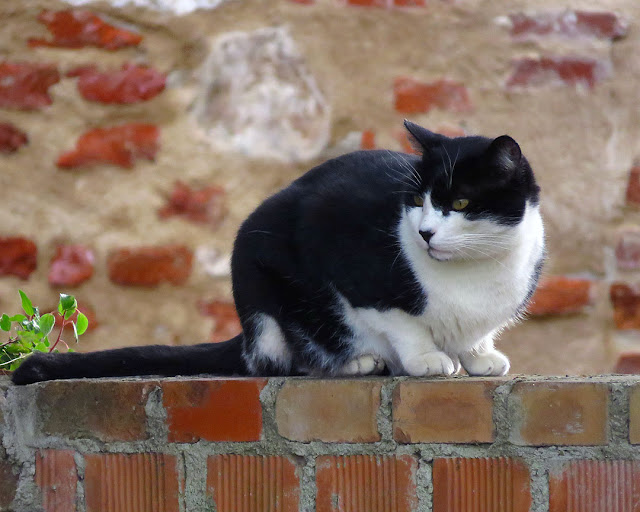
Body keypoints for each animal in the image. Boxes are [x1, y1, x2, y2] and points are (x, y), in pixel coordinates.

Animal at [11, 120, 544, 384]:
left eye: (460, 203)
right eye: (416, 200)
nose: (426, 233)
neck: (472, 272)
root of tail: (245, 336)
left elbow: (476, 334)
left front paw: (480, 357)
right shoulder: (355, 268)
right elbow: (403, 322)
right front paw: (426, 359)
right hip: (261, 287)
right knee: (279, 360)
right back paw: (356, 363)